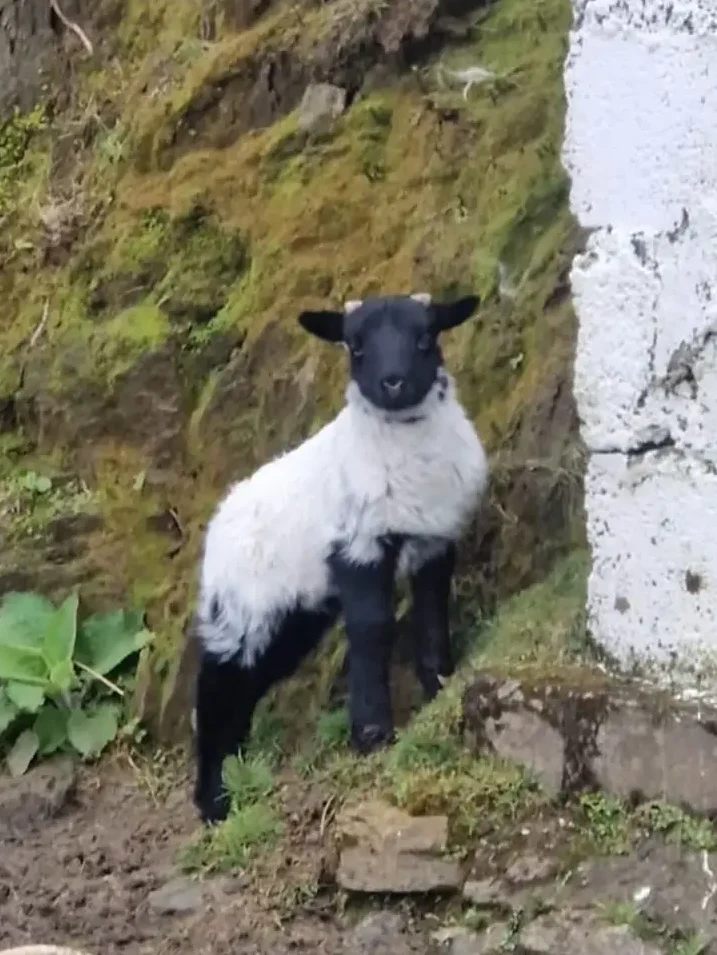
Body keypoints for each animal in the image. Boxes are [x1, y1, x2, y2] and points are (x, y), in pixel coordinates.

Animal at [193, 292, 489, 823]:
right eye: (355, 346)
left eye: (425, 336)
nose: (393, 383)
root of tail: (220, 517)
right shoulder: (359, 546)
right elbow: (373, 629)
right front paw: (372, 734)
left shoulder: (434, 540)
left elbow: (432, 612)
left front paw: (440, 683)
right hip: (240, 611)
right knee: (218, 685)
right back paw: (213, 801)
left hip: (293, 613)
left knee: (249, 684)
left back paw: (237, 773)